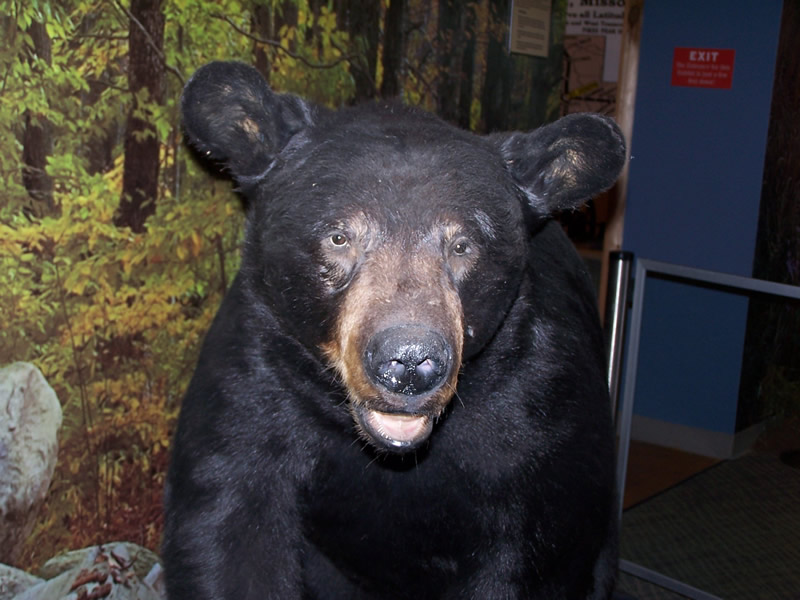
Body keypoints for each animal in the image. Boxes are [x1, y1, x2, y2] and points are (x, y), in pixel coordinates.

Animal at [162, 60, 626, 600]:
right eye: (338, 237)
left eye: (464, 245)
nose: (408, 362)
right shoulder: (254, 381)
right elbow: (227, 530)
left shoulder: (538, 414)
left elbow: (538, 551)